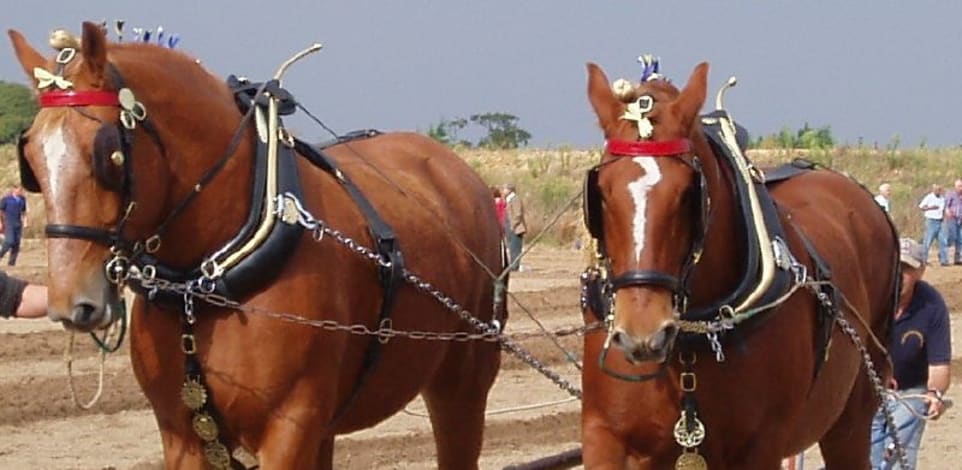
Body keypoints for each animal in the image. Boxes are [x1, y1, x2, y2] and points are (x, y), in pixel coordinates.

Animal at [9, 23, 502, 470]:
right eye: (30, 158)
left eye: (108, 153)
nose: (72, 302)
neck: (204, 287)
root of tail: (460, 174)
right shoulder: (182, 435)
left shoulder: (289, 430)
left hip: (462, 384)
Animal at [576, 60, 900, 468]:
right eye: (600, 192)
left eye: (688, 193)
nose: (642, 334)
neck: (687, 349)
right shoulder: (605, 437)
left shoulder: (761, 445)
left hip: (851, 421)